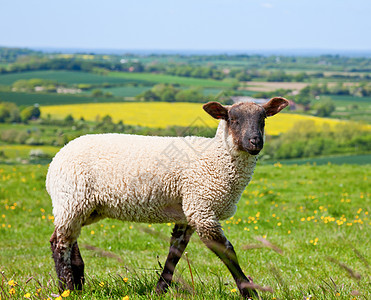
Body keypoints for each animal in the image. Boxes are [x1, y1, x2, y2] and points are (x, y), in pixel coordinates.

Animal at [46, 97, 290, 298]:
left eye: (263, 120)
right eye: (233, 119)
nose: (255, 142)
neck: (216, 158)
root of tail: (57, 157)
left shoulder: (188, 211)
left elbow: (175, 251)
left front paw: (160, 289)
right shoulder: (202, 207)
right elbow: (227, 251)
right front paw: (249, 292)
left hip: (84, 206)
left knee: (68, 239)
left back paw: (78, 284)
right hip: (72, 198)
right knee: (60, 242)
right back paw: (66, 288)